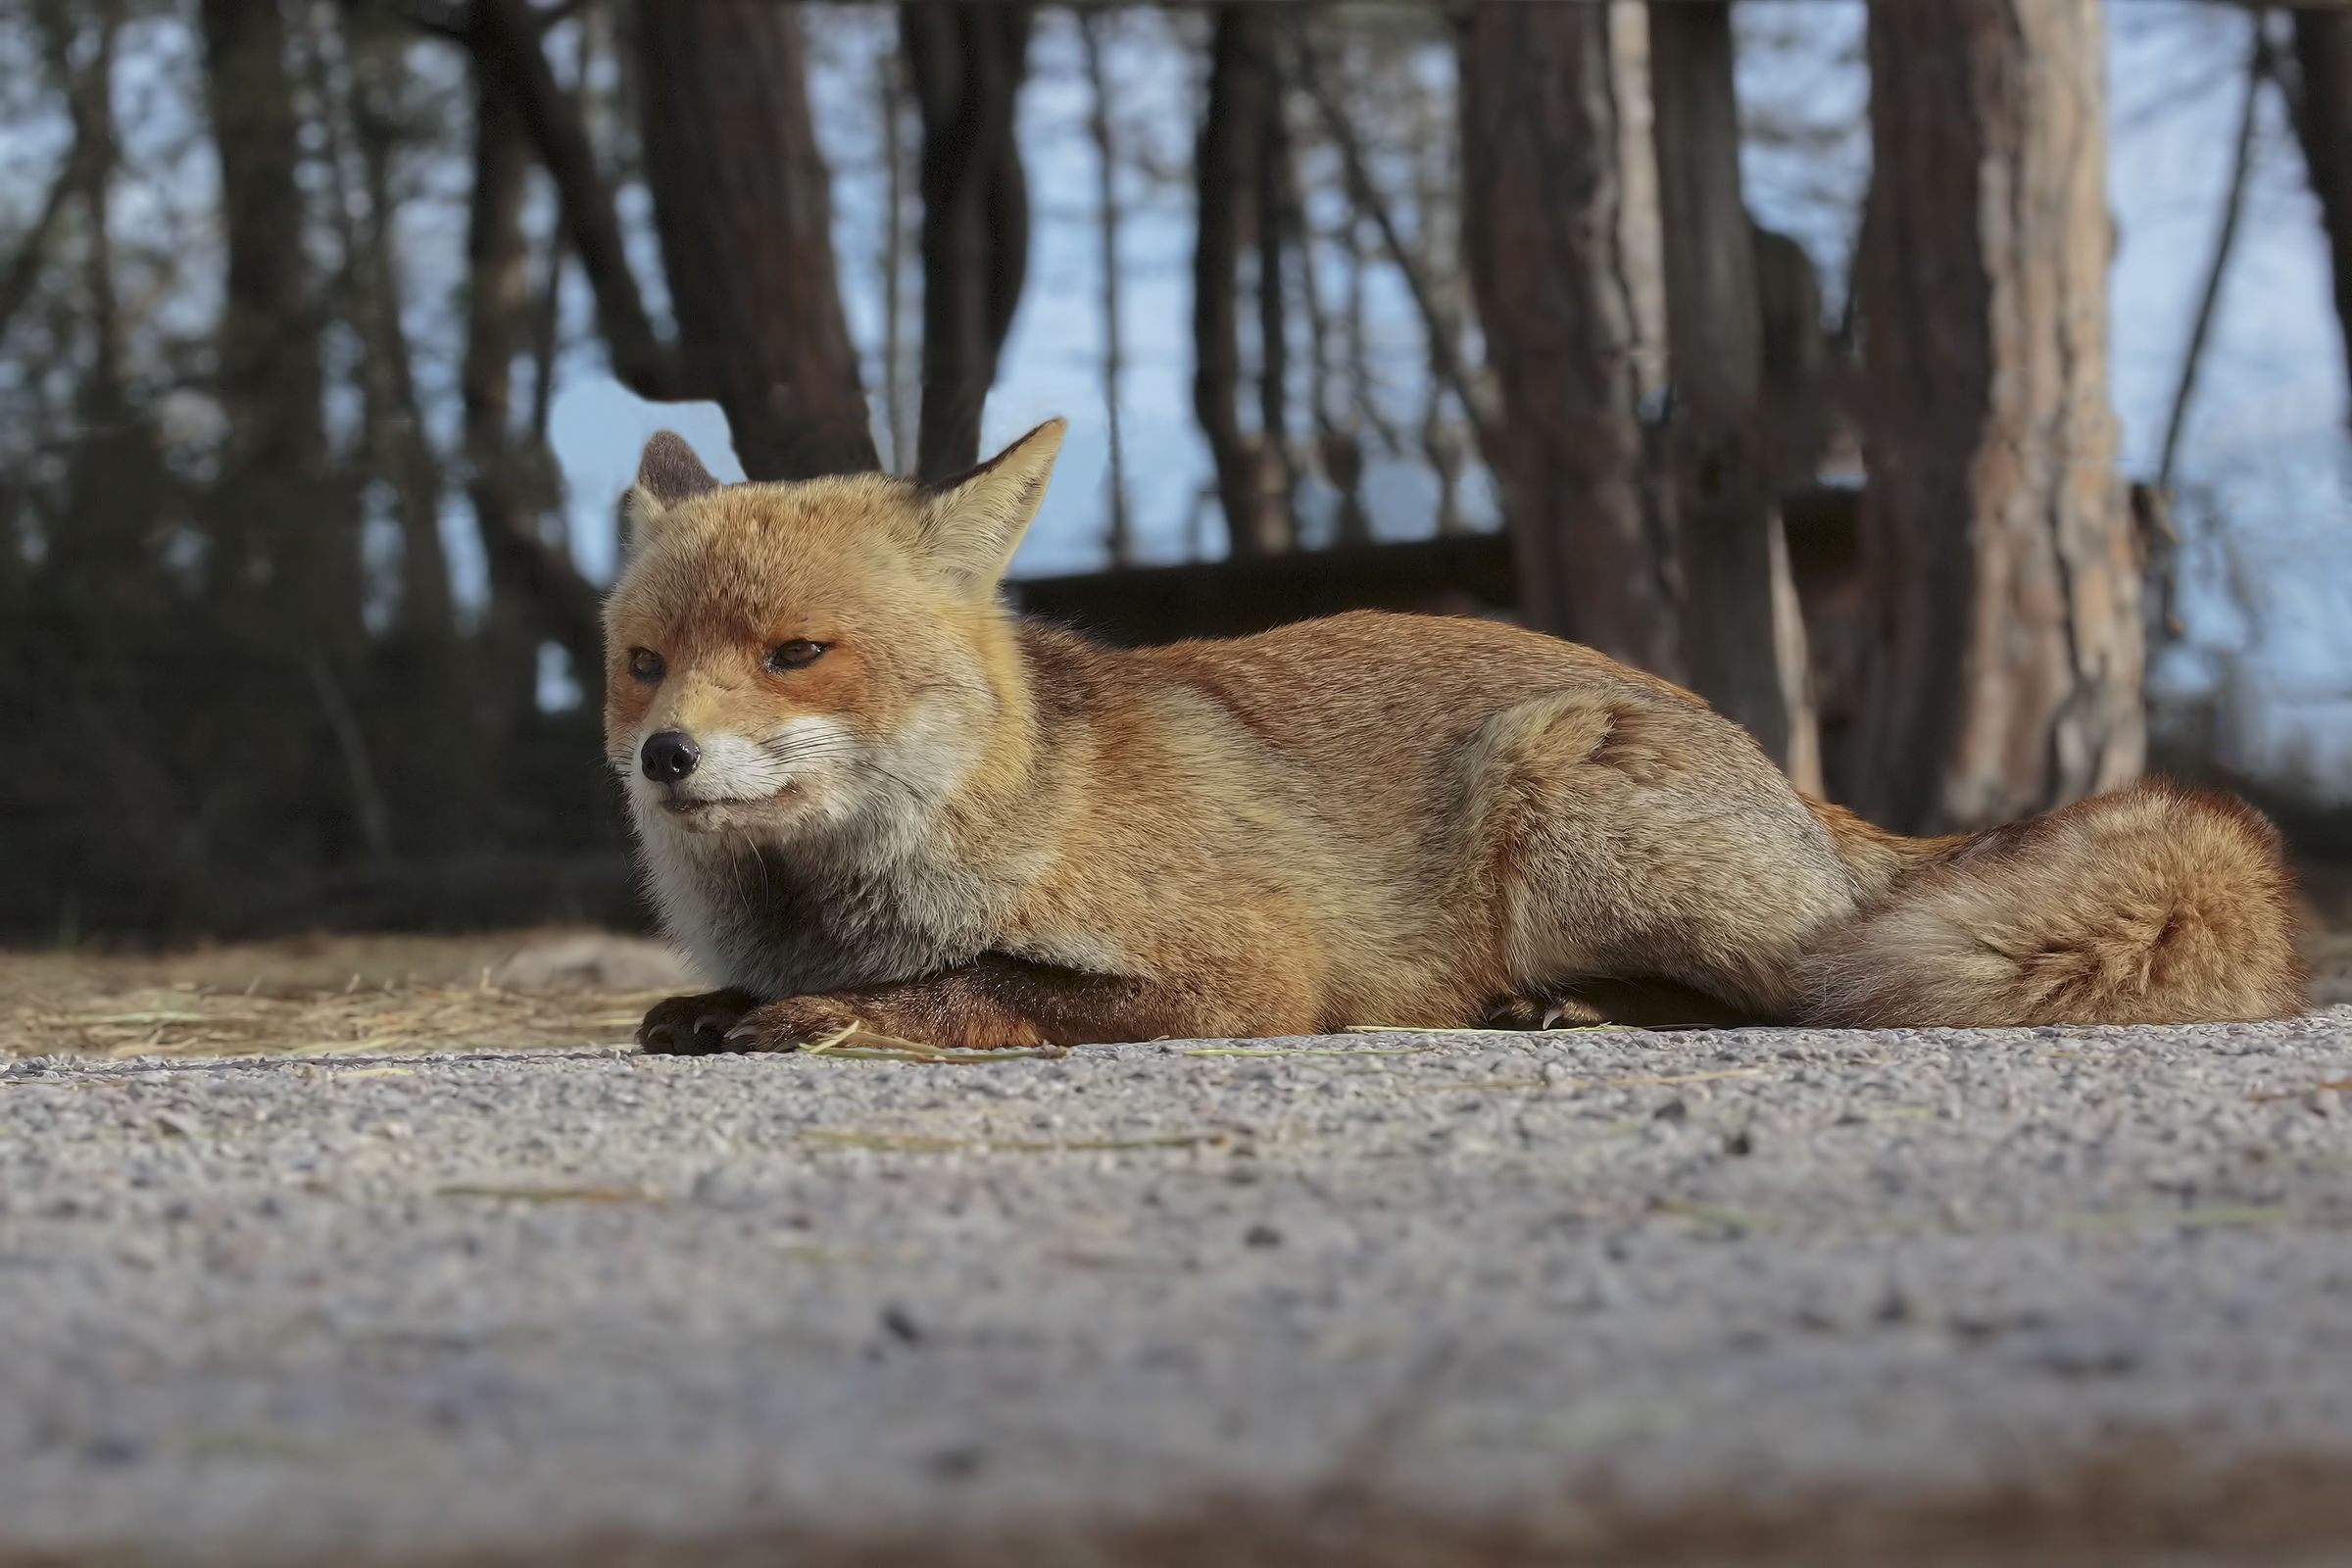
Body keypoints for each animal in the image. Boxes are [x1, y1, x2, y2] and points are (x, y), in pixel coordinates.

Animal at [604, 419, 2306, 1055]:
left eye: (796, 653)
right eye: (642, 665)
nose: (663, 758)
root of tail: (1781, 772)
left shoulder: (1243, 974)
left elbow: (982, 983)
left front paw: (839, 1012)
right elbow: (700, 1003)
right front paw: (726, 1005)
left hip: (1566, 814)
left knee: (1801, 994)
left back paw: (1577, 1009)